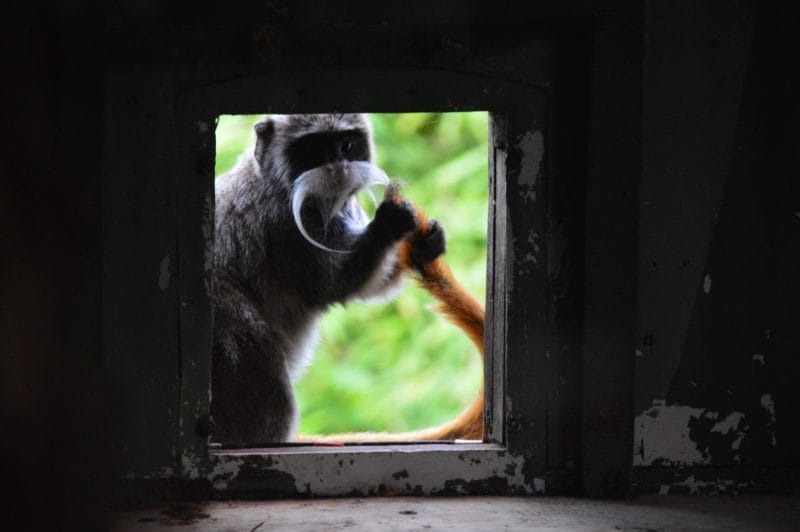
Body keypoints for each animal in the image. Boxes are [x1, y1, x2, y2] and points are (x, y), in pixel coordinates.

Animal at [206, 113, 446, 444]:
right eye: (312, 150)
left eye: (347, 145)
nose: (338, 166)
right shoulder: (285, 228)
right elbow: (334, 285)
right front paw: (386, 225)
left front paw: (425, 245)